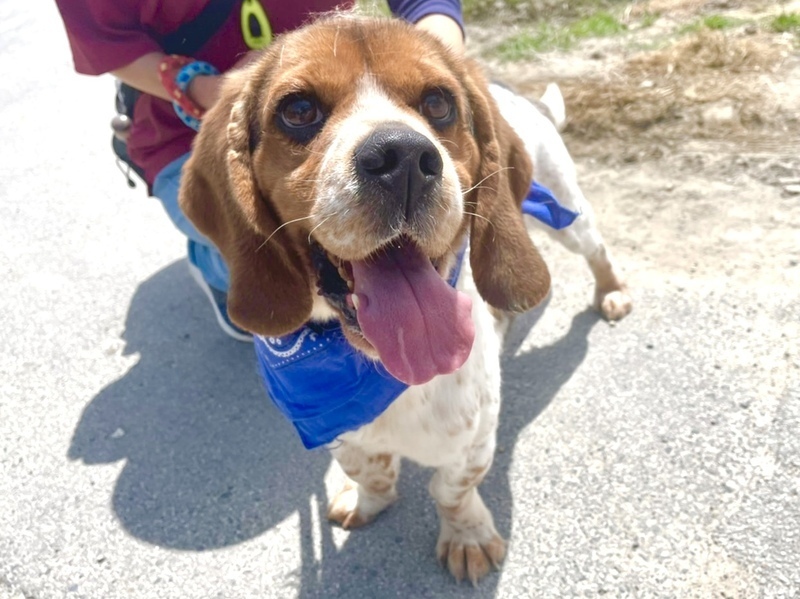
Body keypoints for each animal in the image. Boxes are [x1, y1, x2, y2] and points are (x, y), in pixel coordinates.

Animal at [178, 14, 631, 584]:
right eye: (298, 110)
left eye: (439, 103)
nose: (404, 158)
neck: (380, 368)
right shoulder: (341, 435)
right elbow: (367, 469)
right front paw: (367, 499)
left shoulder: (475, 436)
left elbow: (452, 489)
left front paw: (467, 536)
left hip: (566, 212)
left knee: (598, 250)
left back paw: (611, 293)